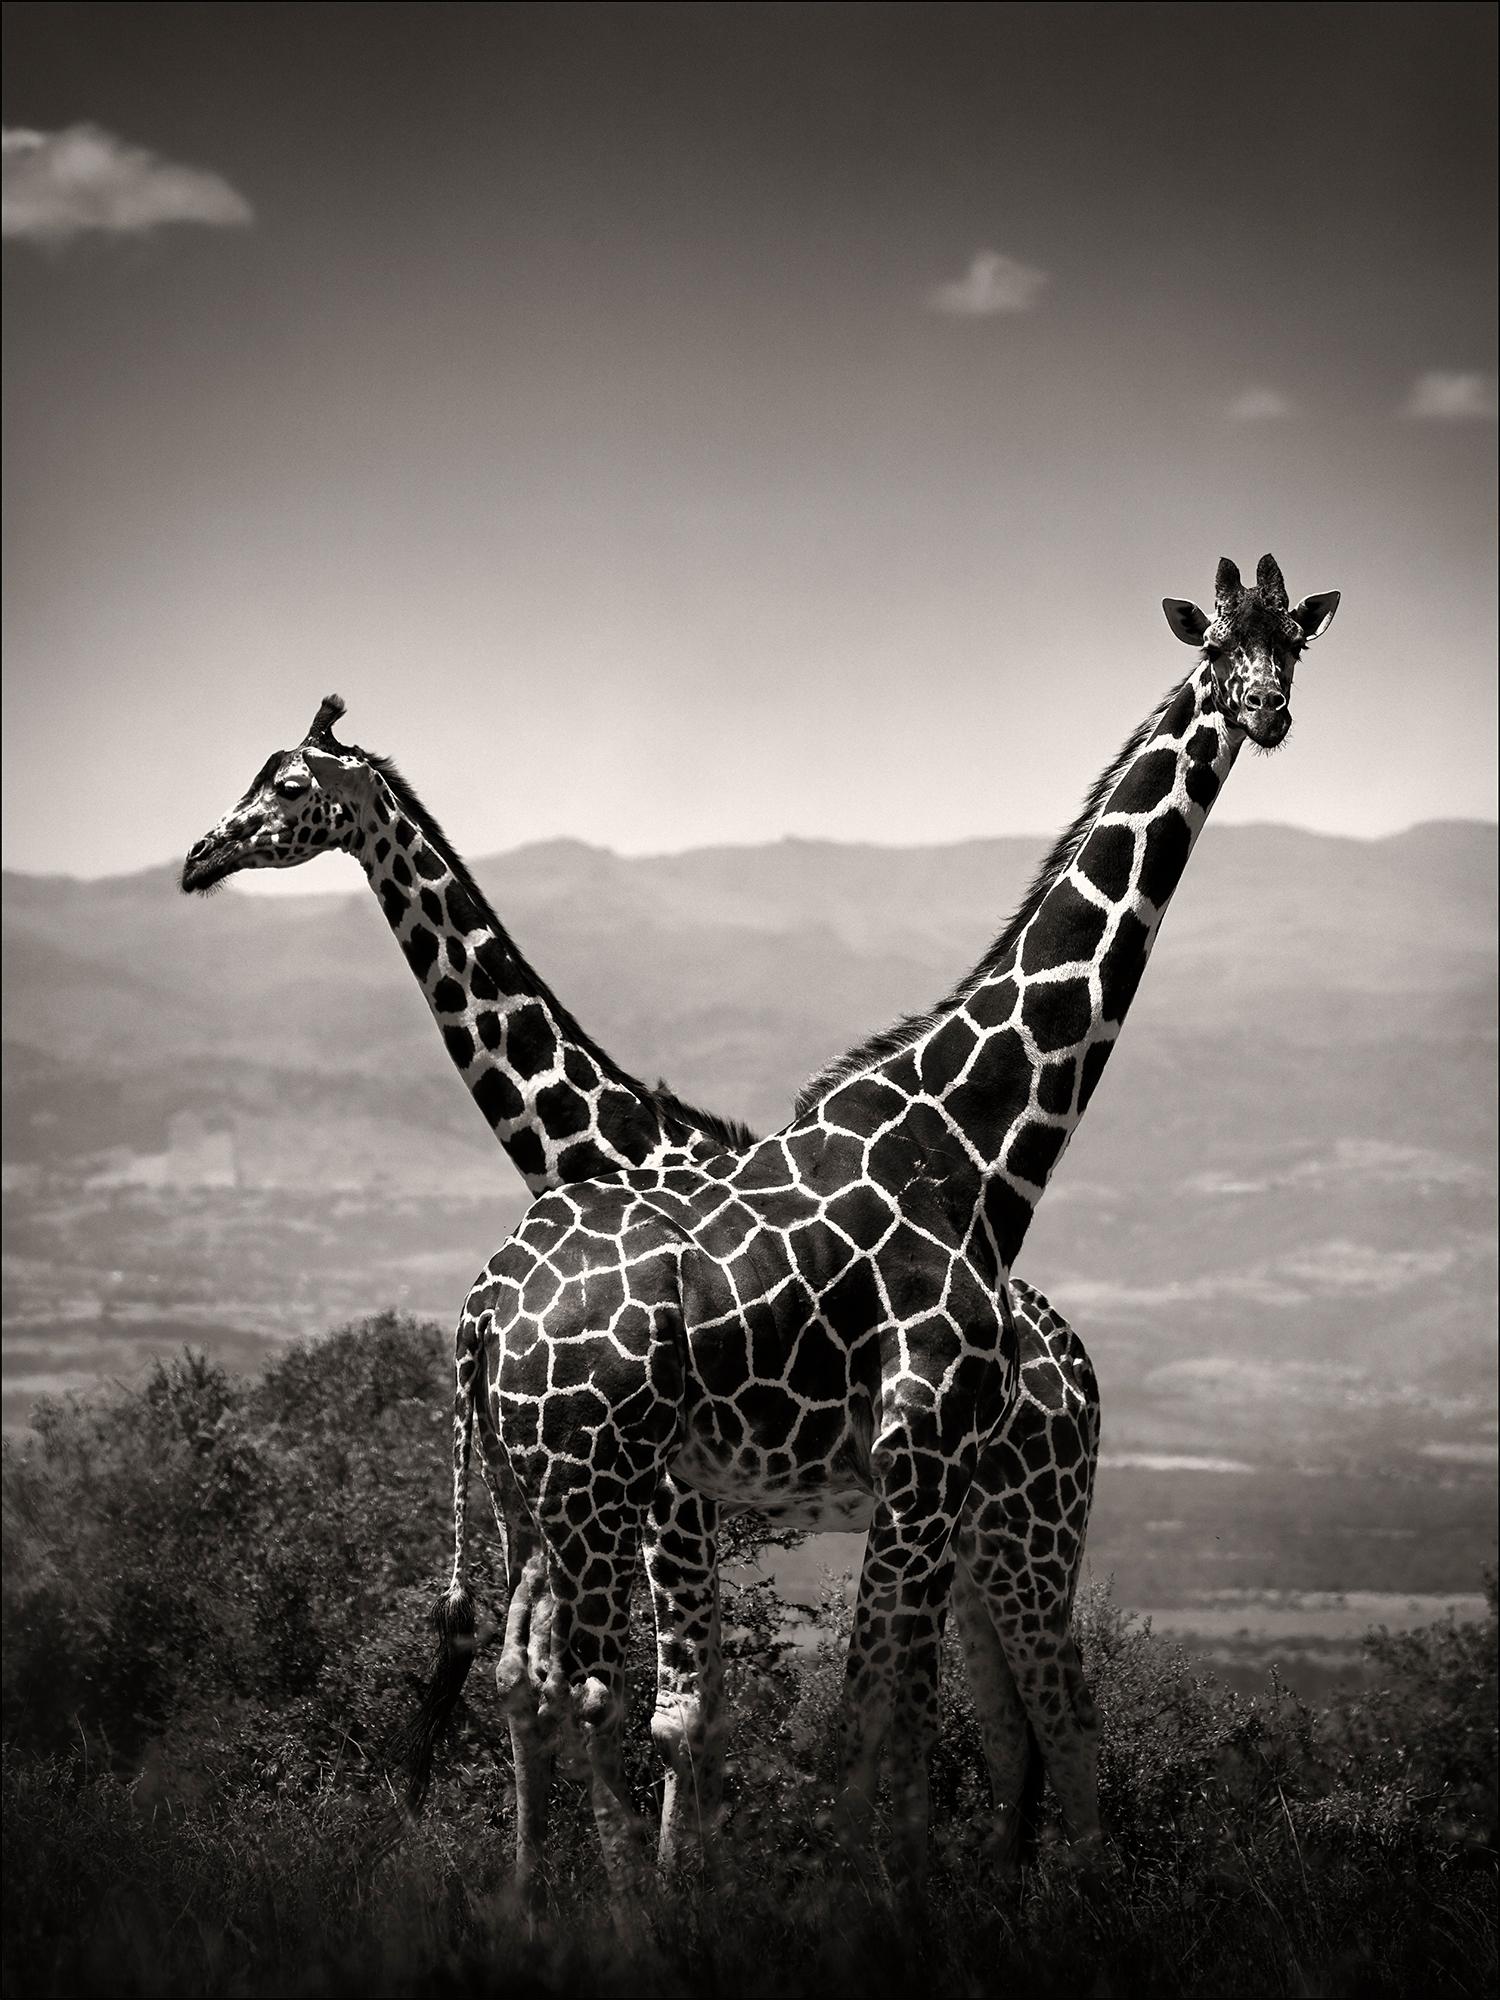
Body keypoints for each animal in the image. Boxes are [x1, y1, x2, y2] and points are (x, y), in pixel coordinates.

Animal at [182, 704, 1104, 1888]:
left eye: (289, 785)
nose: (201, 855)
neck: (598, 1145)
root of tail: (1079, 1361)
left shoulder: (666, 1490)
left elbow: (678, 1710)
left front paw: (675, 1890)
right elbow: (631, 1697)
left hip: (1029, 1519)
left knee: (1049, 1711)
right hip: (979, 1531)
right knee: (1008, 1728)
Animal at [414, 548, 1352, 1888]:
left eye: (1296, 643)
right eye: (1218, 643)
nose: (1266, 710)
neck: (968, 1137)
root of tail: (485, 1307)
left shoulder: (914, 1480)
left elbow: (875, 1724)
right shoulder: (908, 1466)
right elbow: (854, 1725)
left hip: (632, 1500)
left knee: (1034, 1719)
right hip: (604, 1490)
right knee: (594, 1689)